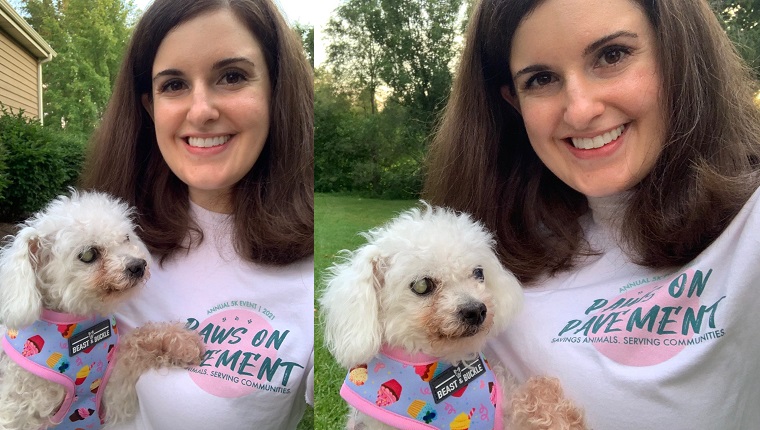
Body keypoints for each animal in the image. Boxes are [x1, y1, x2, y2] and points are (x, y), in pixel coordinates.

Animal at [0, 191, 203, 430]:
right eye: (88, 255)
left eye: (126, 238)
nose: (138, 265)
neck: (76, 324)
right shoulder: (17, 406)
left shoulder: (113, 392)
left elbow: (136, 341)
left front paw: (181, 343)